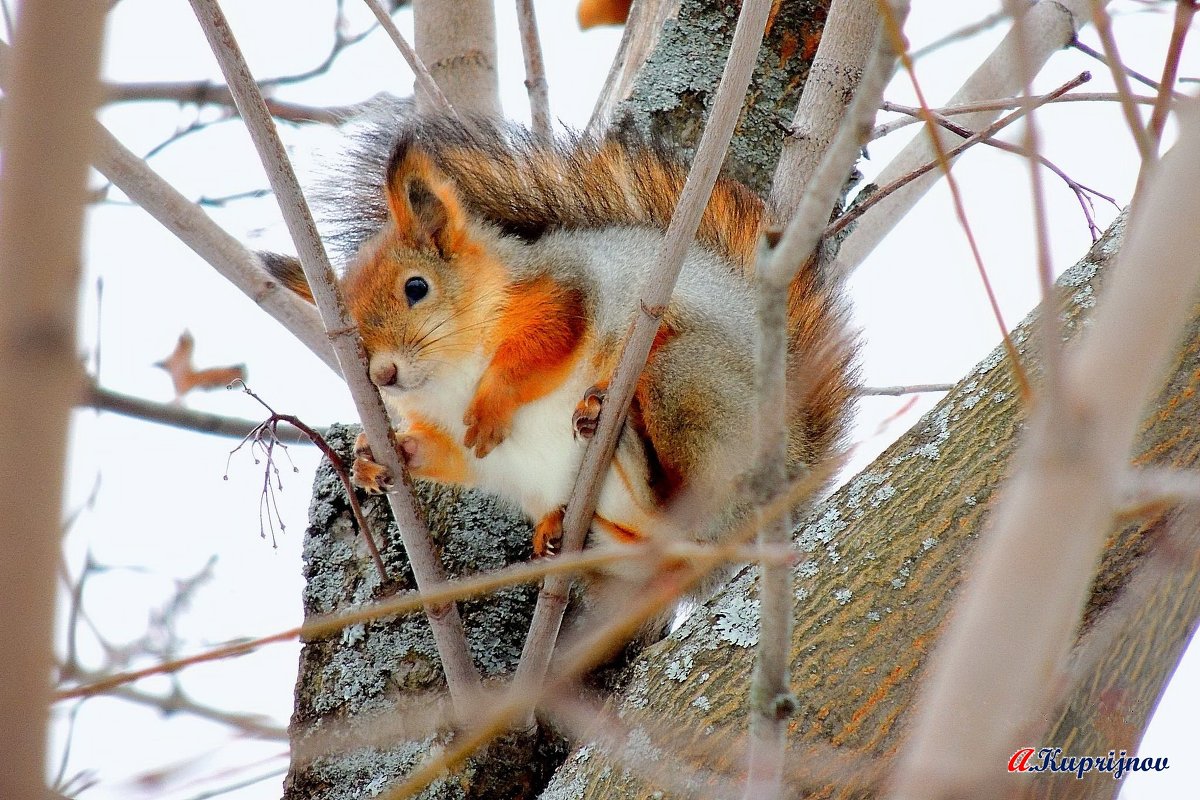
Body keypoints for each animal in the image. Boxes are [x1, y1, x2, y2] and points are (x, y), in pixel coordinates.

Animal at [267, 112, 859, 561]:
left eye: (417, 287)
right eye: (344, 335)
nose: (383, 374)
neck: (449, 376)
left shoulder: (562, 292)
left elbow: (545, 345)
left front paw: (492, 401)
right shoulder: (460, 441)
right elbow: (450, 455)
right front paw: (374, 455)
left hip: (692, 380)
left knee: (697, 500)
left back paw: (621, 439)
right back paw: (561, 523)